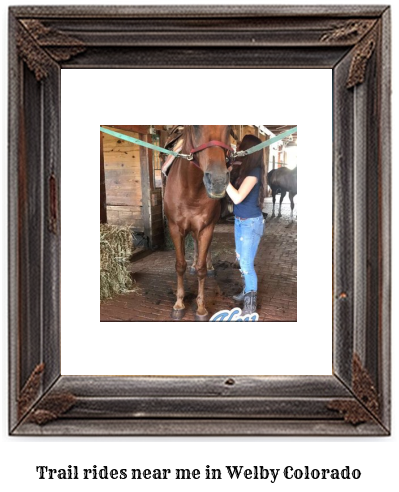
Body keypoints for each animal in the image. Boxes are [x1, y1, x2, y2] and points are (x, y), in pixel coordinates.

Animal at [162, 125, 231, 320]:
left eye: (229, 127)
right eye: (195, 126)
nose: (217, 181)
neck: (191, 187)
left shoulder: (206, 228)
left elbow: (202, 269)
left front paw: (200, 308)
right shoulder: (175, 229)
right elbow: (180, 266)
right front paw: (179, 304)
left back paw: (210, 265)